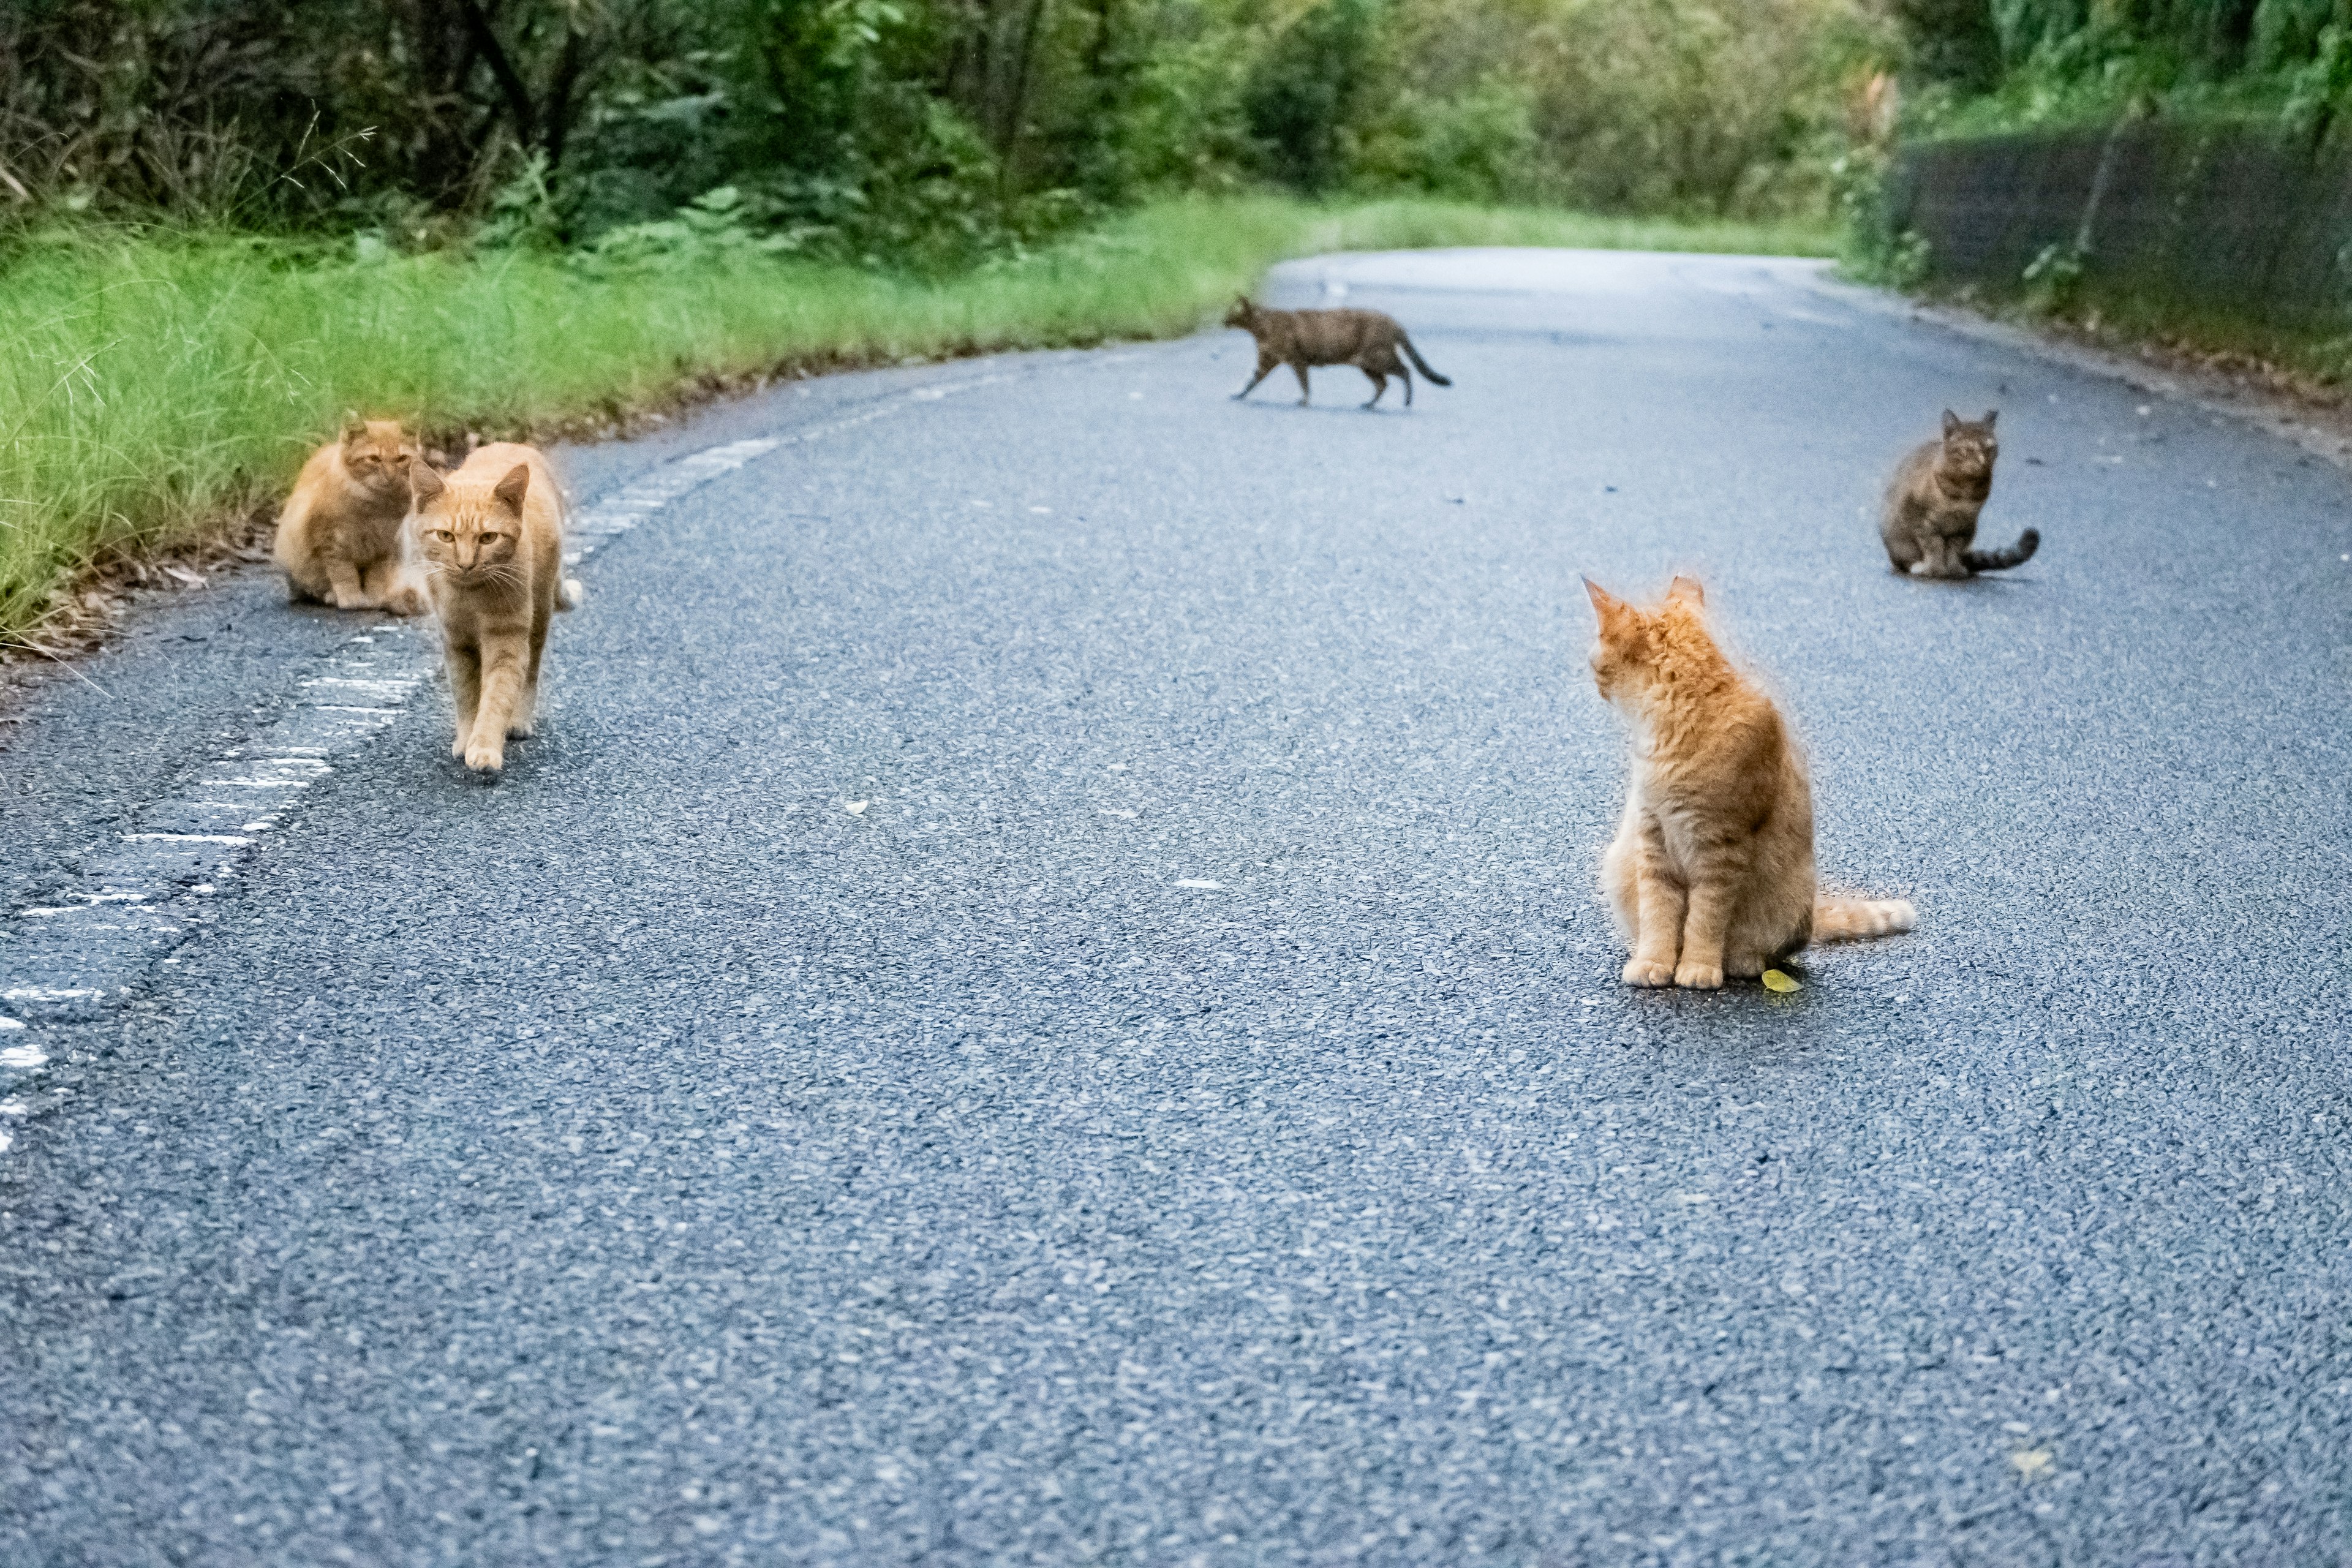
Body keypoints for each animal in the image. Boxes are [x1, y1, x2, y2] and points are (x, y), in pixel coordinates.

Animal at [273, 421, 430, 616]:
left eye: (401, 458)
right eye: (374, 459)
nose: (390, 476)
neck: (376, 507)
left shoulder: (383, 548)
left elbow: (376, 579)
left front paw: (374, 599)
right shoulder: (332, 545)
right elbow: (344, 575)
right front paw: (351, 599)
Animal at [409, 442, 583, 771]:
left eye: (488, 538)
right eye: (445, 536)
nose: (465, 564)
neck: (471, 600)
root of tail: (513, 444)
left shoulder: (506, 642)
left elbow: (496, 698)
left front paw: (485, 747)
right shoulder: (457, 643)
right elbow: (466, 696)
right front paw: (466, 739)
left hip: (539, 615)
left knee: (531, 673)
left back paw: (519, 722)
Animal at [1223, 297, 1439, 411]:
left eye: (1230, 313)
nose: (1222, 320)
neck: (1260, 329)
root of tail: (1394, 322)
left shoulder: (1297, 360)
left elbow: (1304, 384)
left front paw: (1304, 401)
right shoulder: (1266, 361)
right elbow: (1251, 381)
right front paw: (1238, 394)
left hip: (1378, 357)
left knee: (1405, 371)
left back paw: (1407, 402)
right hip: (1366, 364)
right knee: (1383, 384)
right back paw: (1369, 404)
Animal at [1580, 576, 1910, 992]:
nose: (1593, 682)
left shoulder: (1721, 848)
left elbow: (1705, 921)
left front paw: (1698, 967)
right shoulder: (1653, 843)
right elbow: (1658, 916)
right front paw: (1654, 962)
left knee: (1766, 952)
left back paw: (1742, 961)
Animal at [1872, 411, 2041, 582]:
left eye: (1989, 448)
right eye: (1969, 449)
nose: (1983, 461)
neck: (1964, 491)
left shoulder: (1964, 525)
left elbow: (1954, 548)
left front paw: (1953, 568)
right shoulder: (1919, 518)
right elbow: (1933, 545)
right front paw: (1935, 569)